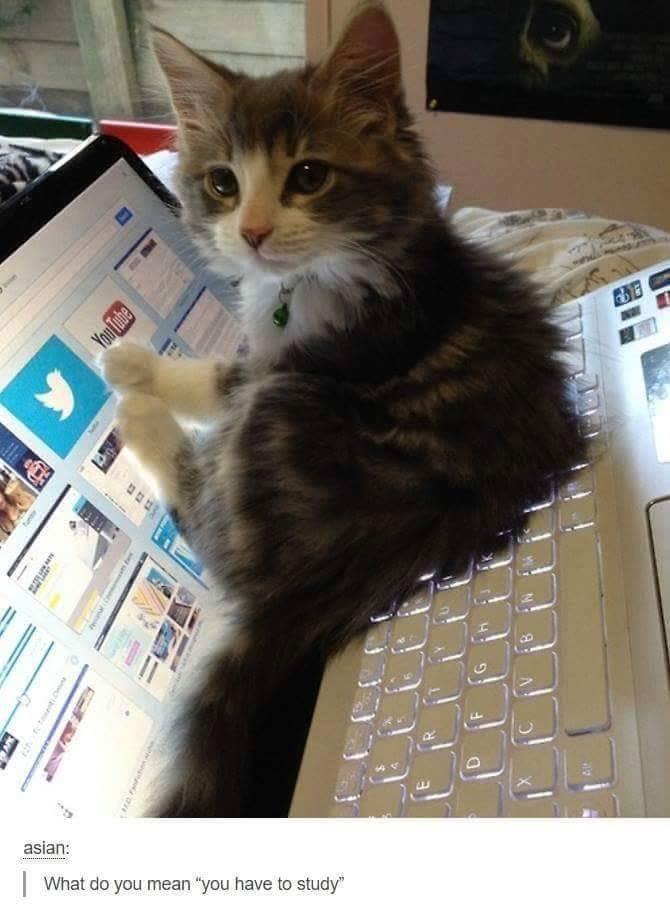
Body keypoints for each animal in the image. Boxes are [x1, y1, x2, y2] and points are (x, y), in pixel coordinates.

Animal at [101, 1, 586, 816]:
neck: (322, 274)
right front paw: (143, 361)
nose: (253, 232)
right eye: (223, 183)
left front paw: (135, 374)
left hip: (283, 420)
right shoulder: (274, 346)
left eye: (308, 176)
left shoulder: (313, 360)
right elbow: (228, 363)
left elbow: (230, 380)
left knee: (214, 532)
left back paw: (141, 422)